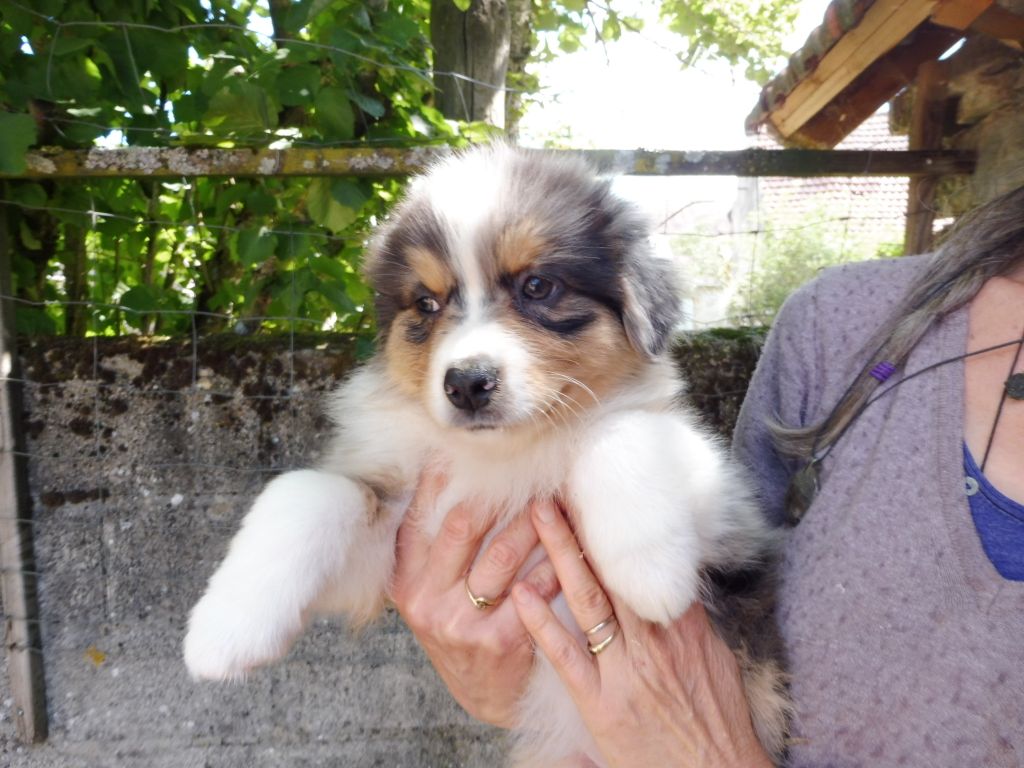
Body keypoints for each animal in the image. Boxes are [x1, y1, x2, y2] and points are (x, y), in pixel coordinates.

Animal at [184, 144, 788, 766]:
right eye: (426, 303)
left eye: (538, 286)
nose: (467, 384)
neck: (508, 455)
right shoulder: (395, 546)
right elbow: (306, 490)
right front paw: (223, 631)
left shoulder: (732, 519)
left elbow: (619, 429)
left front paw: (653, 576)